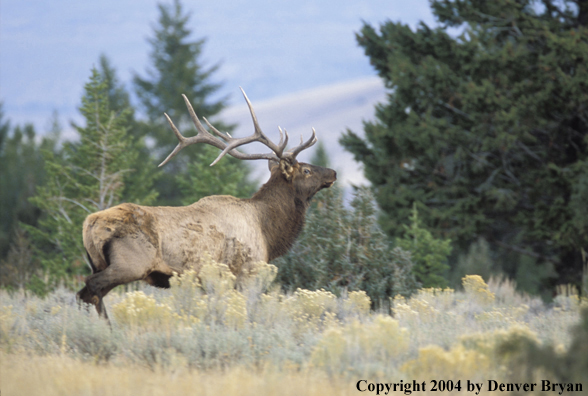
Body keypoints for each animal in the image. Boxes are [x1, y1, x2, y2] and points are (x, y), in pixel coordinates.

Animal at [77, 89, 336, 318]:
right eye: (306, 170)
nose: (332, 172)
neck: (268, 232)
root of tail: (89, 223)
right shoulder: (247, 272)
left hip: (98, 262)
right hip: (130, 263)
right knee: (91, 288)